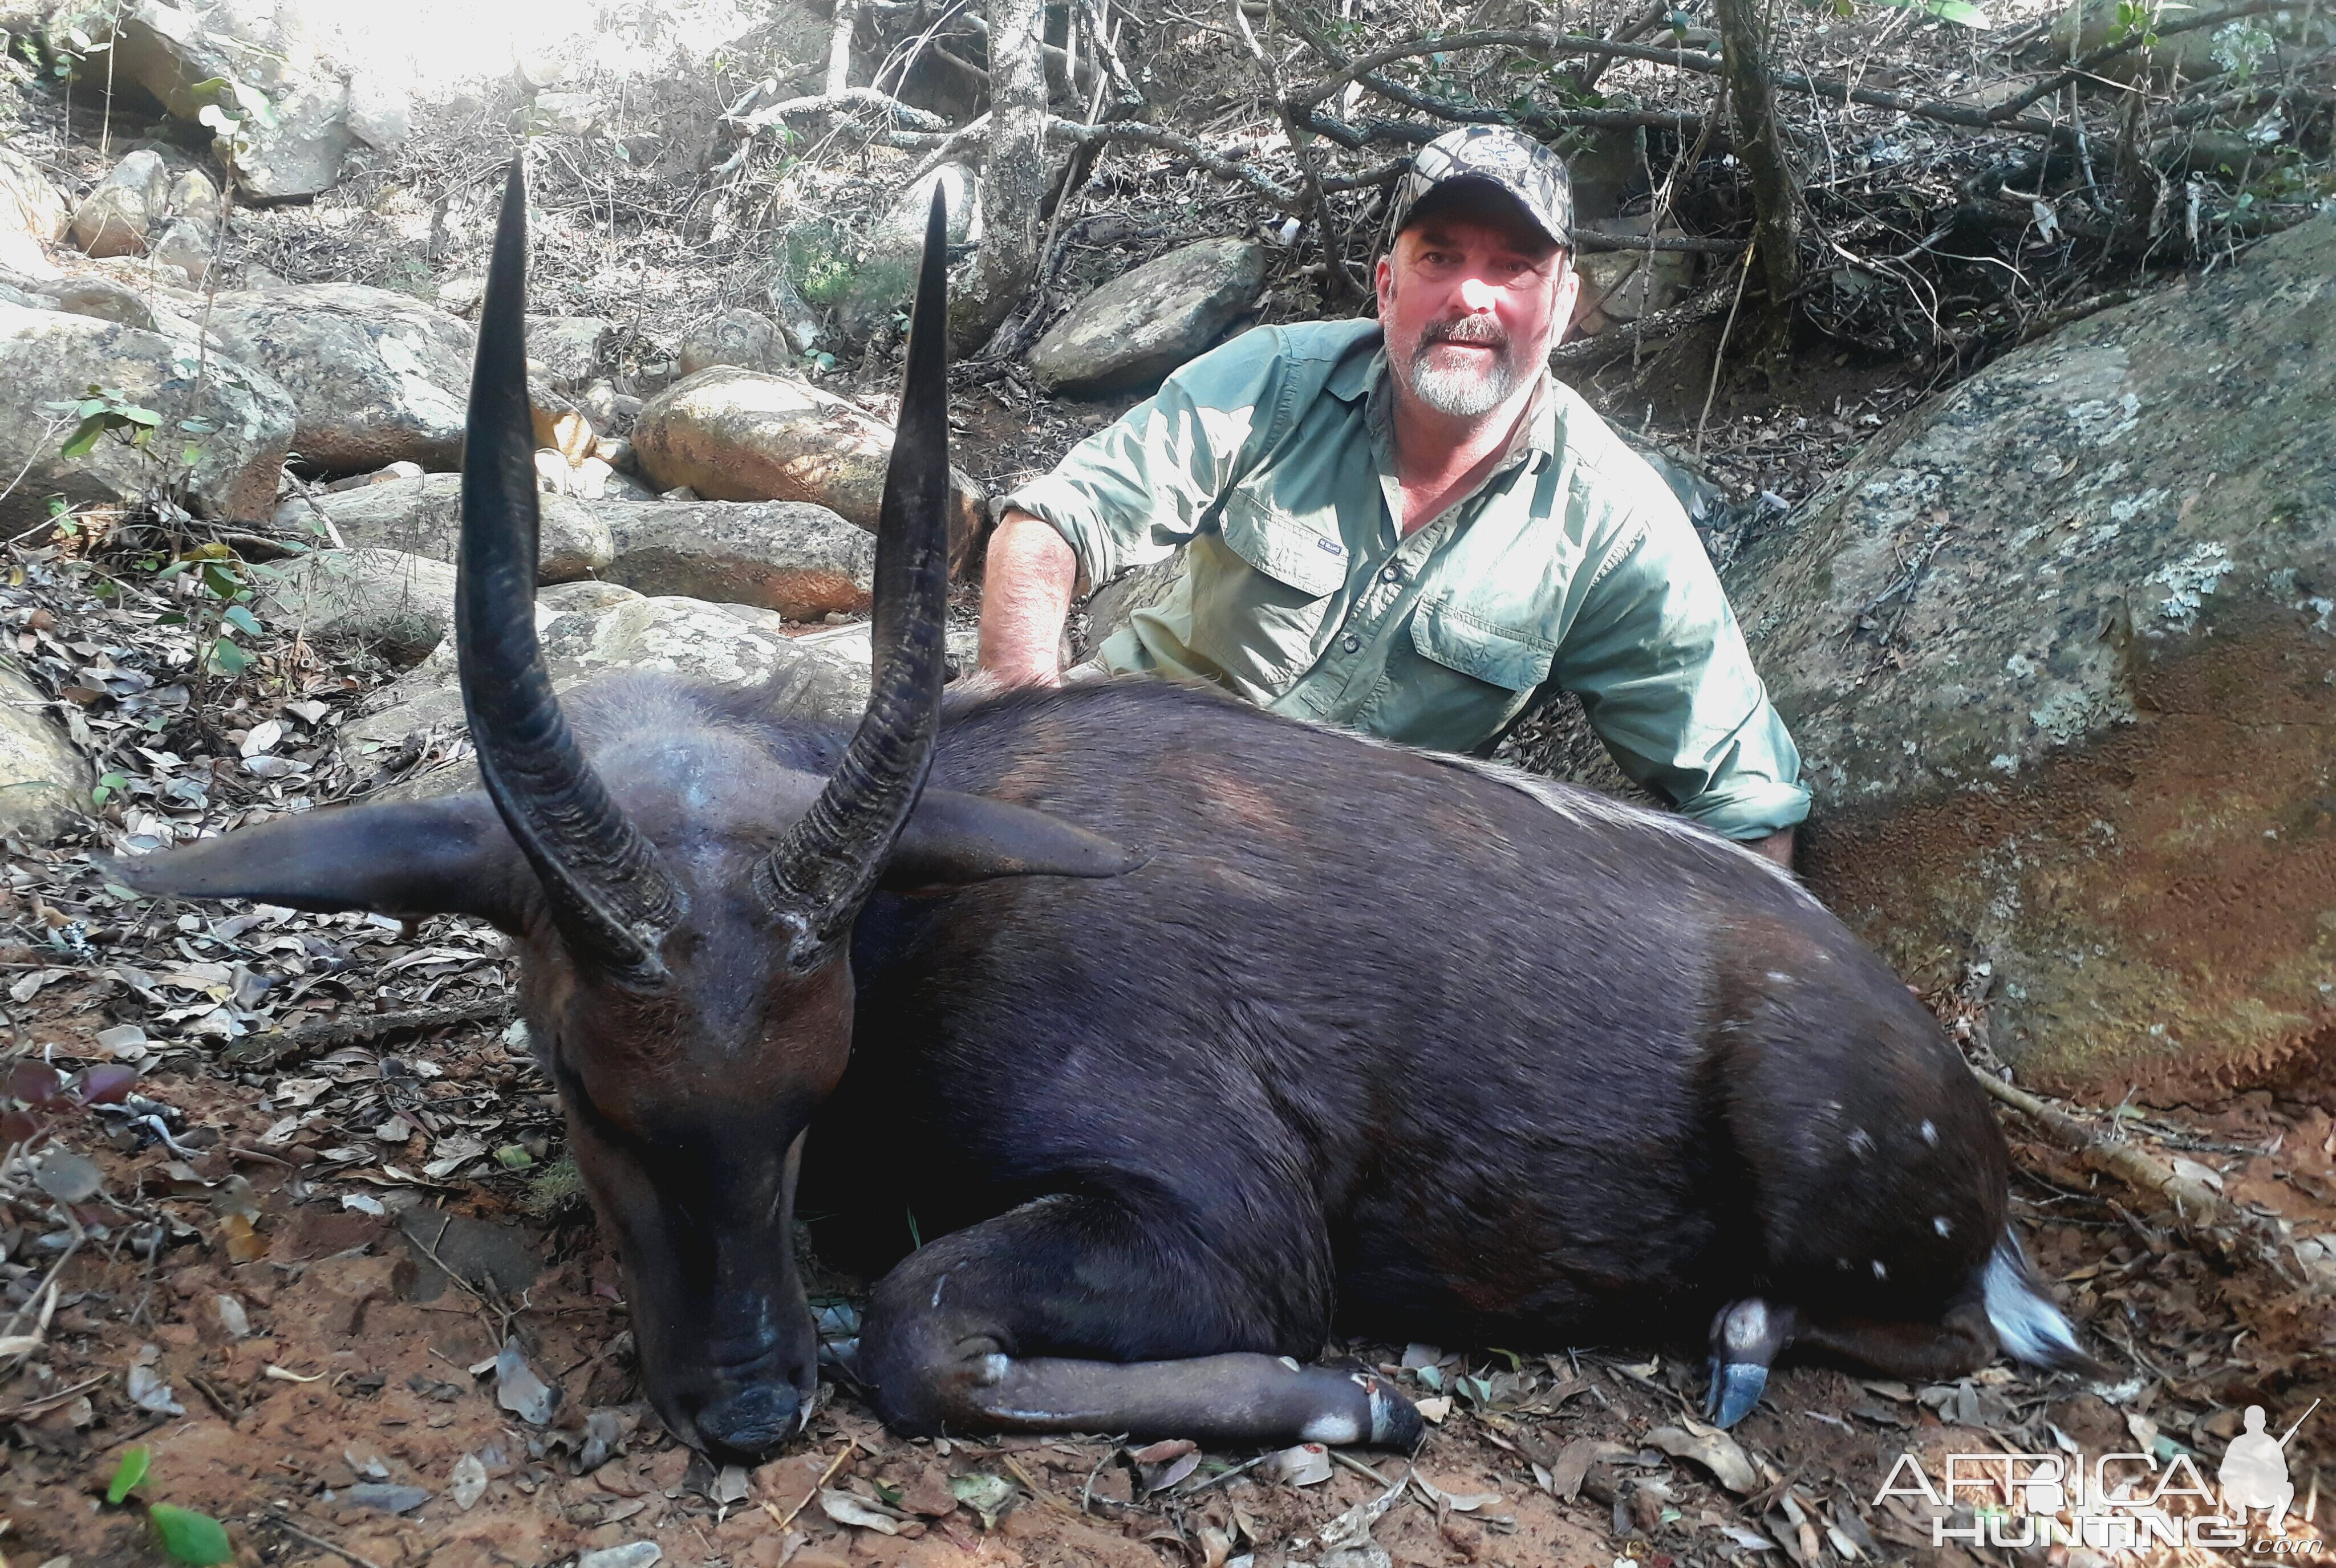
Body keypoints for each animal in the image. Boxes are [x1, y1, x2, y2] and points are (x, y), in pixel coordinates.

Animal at [118, 165, 2093, 1467]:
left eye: (808, 1093)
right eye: (591, 1089)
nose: (750, 1406)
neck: (922, 929)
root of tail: (1960, 1109)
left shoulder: (1224, 1220)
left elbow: (921, 1328)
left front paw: (1355, 1394)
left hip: (1837, 1179)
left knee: (1946, 1333)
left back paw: (1742, 1342)